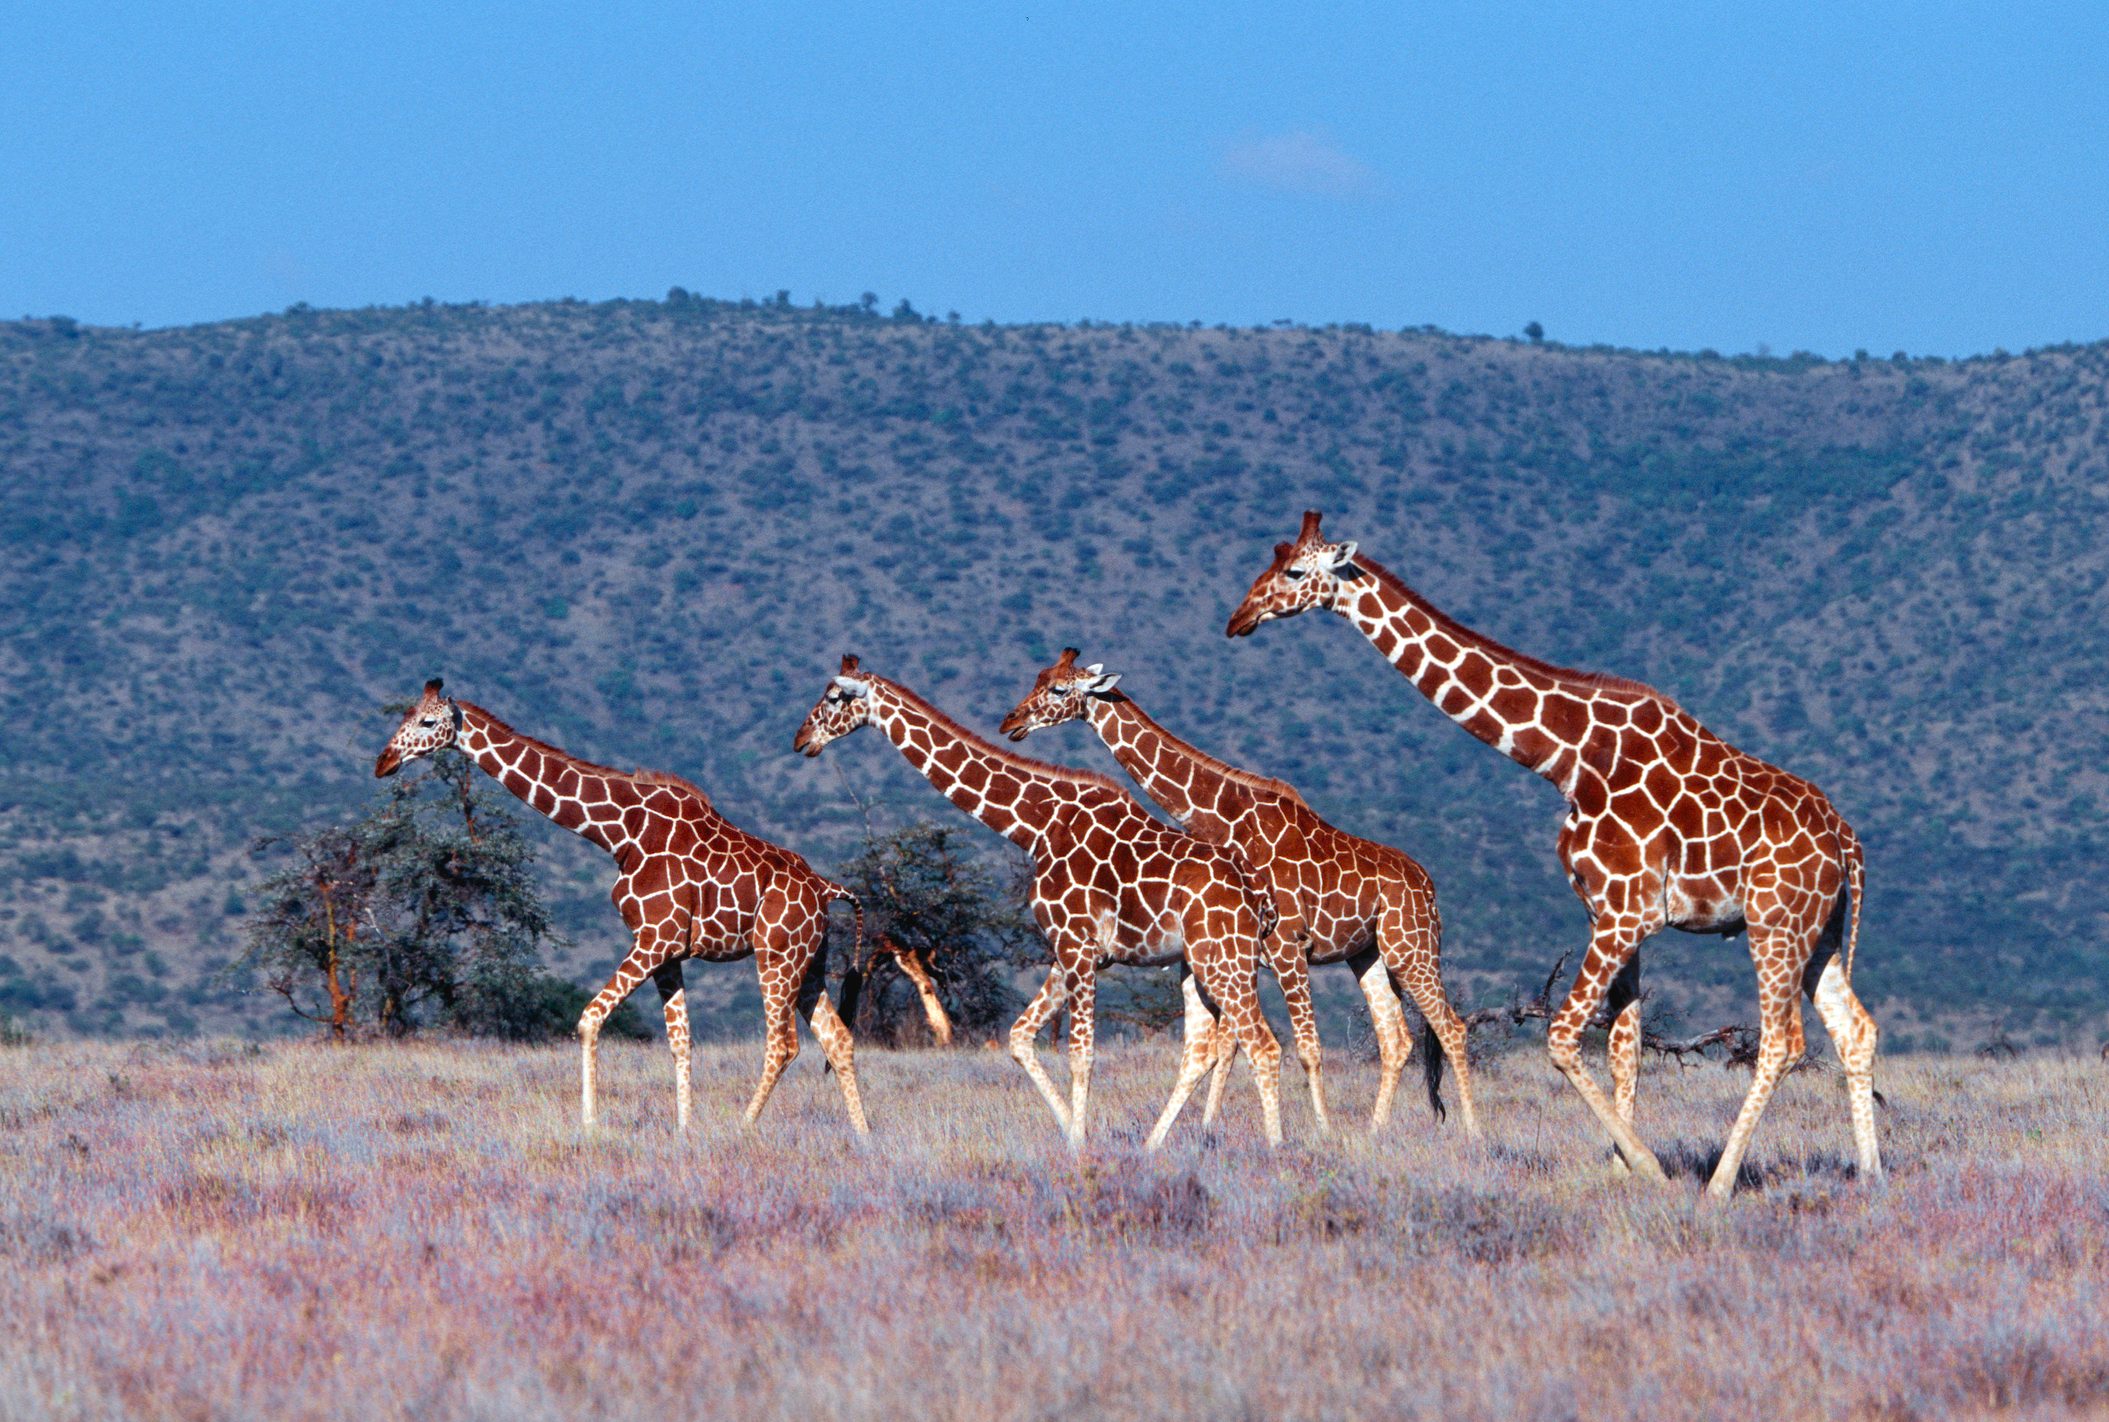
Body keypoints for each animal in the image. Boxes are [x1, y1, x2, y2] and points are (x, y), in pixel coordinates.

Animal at [375, 679, 869, 1134]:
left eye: (428, 722)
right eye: (406, 715)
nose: (384, 762)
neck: (620, 831)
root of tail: (825, 886)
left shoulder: (655, 939)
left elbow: (590, 1019)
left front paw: (590, 1124)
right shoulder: (667, 950)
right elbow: (680, 1041)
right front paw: (684, 1131)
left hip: (776, 955)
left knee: (783, 1045)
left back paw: (744, 1128)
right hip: (810, 960)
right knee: (838, 1037)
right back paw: (862, 1134)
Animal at [794, 656, 1284, 1148]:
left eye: (834, 697)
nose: (801, 740)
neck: (1038, 828)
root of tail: (1260, 894)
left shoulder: (1078, 946)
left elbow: (1081, 1054)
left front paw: (1079, 1145)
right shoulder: (1067, 953)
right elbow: (1019, 1037)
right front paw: (1072, 1132)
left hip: (1224, 958)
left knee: (1264, 1044)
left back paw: (1277, 1146)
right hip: (1201, 962)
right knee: (1202, 1050)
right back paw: (1151, 1147)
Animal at [998, 648, 1479, 1137]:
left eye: (1059, 689)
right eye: (1039, 678)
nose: (1011, 721)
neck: (1224, 817)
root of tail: (1428, 886)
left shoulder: (1286, 945)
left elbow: (1304, 1047)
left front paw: (1321, 1133)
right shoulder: (1243, 950)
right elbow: (1230, 1047)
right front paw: (1209, 1126)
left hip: (1411, 948)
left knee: (1451, 1028)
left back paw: (1473, 1130)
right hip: (1369, 955)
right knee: (1396, 1039)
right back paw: (1375, 1132)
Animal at [1226, 512, 1880, 1198]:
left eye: (1294, 571)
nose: (1238, 618)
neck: (1569, 760)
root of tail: (1846, 838)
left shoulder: (1626, 913)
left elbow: (1564, 1038)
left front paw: (1647, 1166)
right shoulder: (1611, 913)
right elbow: (1623, 1048)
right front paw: (1621, 1167)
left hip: (1774, 923)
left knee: (1782, 1042)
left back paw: (1720, 1184)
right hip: (1820, 929)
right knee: (1855, 1029)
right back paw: (1871, 1173)